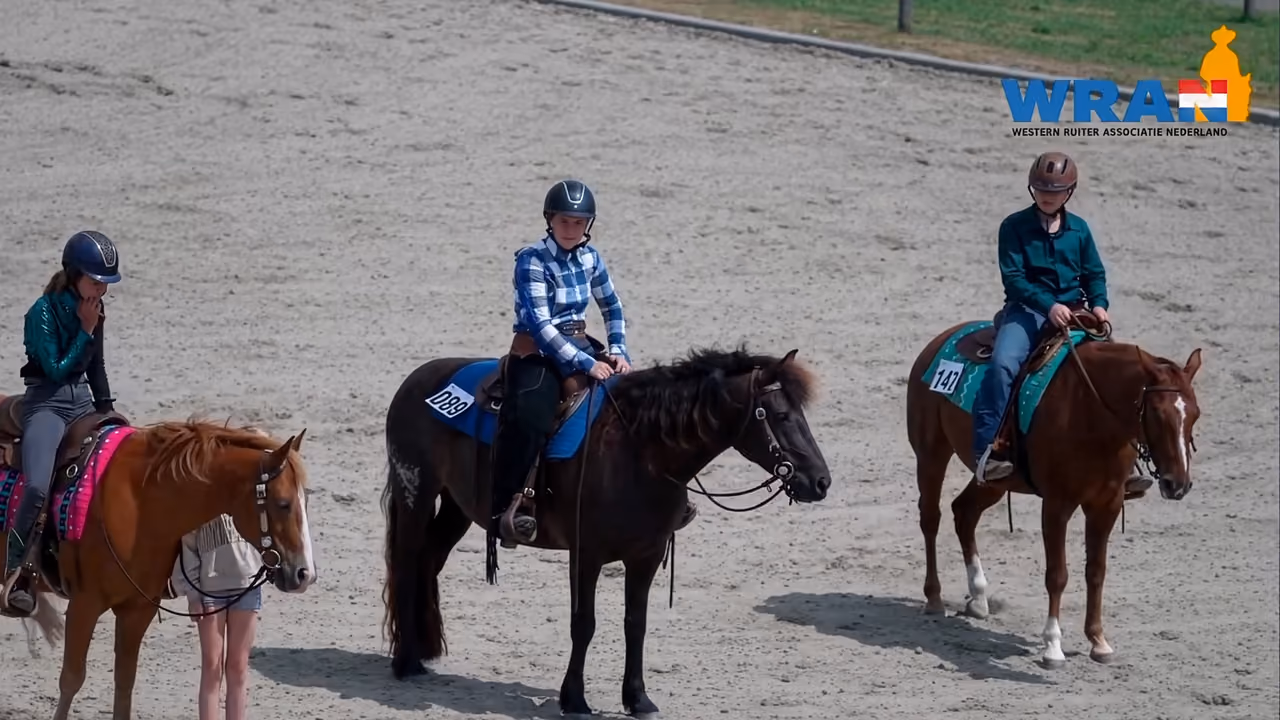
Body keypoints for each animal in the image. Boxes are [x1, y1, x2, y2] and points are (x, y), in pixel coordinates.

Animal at [0, 404, 317, 720]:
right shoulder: (84, 604)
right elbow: (71, 679)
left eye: (305, 501)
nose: (305, 574)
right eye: (283, 503)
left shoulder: (137, 610)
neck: (138, 502)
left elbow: (124, 684)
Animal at [381, 345, 831, 718]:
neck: (639, 451)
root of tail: (415, 380)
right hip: (415, 492)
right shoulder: (587, 554)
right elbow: (584, 623)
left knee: (428, 562)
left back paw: (424, 650)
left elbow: (636, 623)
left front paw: (637, 699)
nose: (821, 481)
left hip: (457, 506)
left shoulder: (646, 554)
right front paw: (574, 700)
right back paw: (406, 662)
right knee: (406, 564)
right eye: (780, 415)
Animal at [905, 313, 1203, 669]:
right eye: (1156, 413)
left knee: (964, 512)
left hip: (994, 481)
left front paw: (1098, 641)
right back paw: (934, 597)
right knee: (930, 518)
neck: (1091, 413)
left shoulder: (1107, 504)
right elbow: (1057, 575)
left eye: (1196, 414)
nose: (1178, 484)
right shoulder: (1057, 504)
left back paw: (978, 597)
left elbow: (1096, 571)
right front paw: (1053, 646)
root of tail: (940, 340)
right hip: (931, 453)